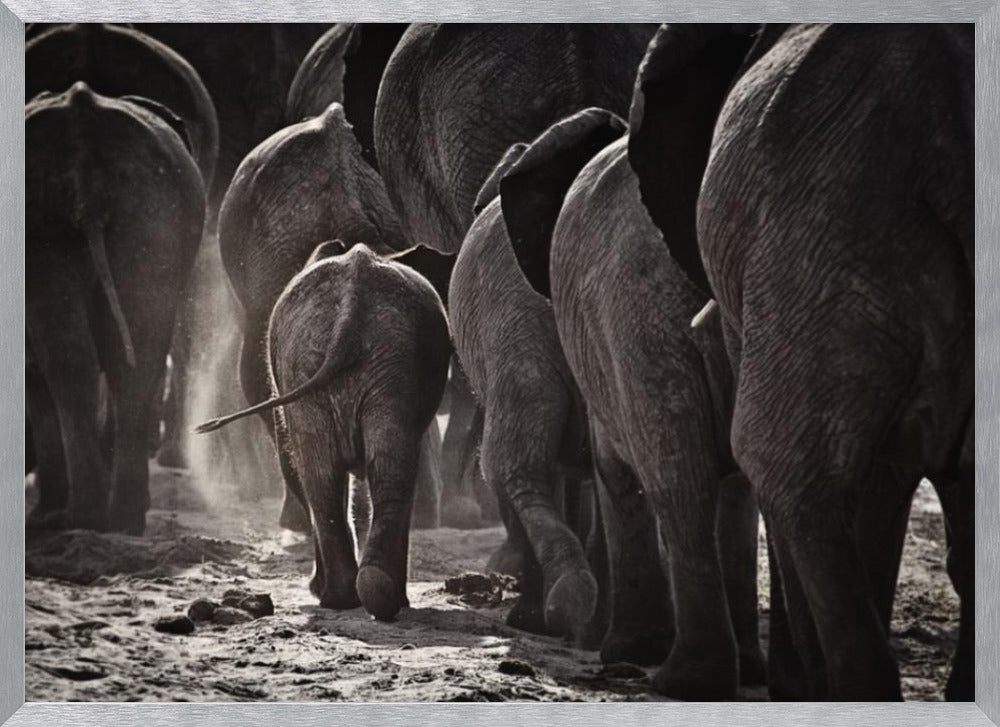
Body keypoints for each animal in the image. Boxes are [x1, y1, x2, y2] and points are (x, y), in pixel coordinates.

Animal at [26, 82, 205, 535]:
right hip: (153, 215)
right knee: (133, 357)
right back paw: (119, 519)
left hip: (52, 222)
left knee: (69, 361)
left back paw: (74, 517)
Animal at [196, 242, 451, 621]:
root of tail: (352, 303)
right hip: (351, 359)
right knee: (363, 470)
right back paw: (363, 595)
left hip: (354, 360)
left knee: (330, 473)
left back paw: (349, 596)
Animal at [503, 108, 764, 699]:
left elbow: (615, 472)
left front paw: (622, 650)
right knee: (724, 481)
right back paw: (732, 672)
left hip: (637, 318)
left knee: (677, 478)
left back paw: (682, 678)